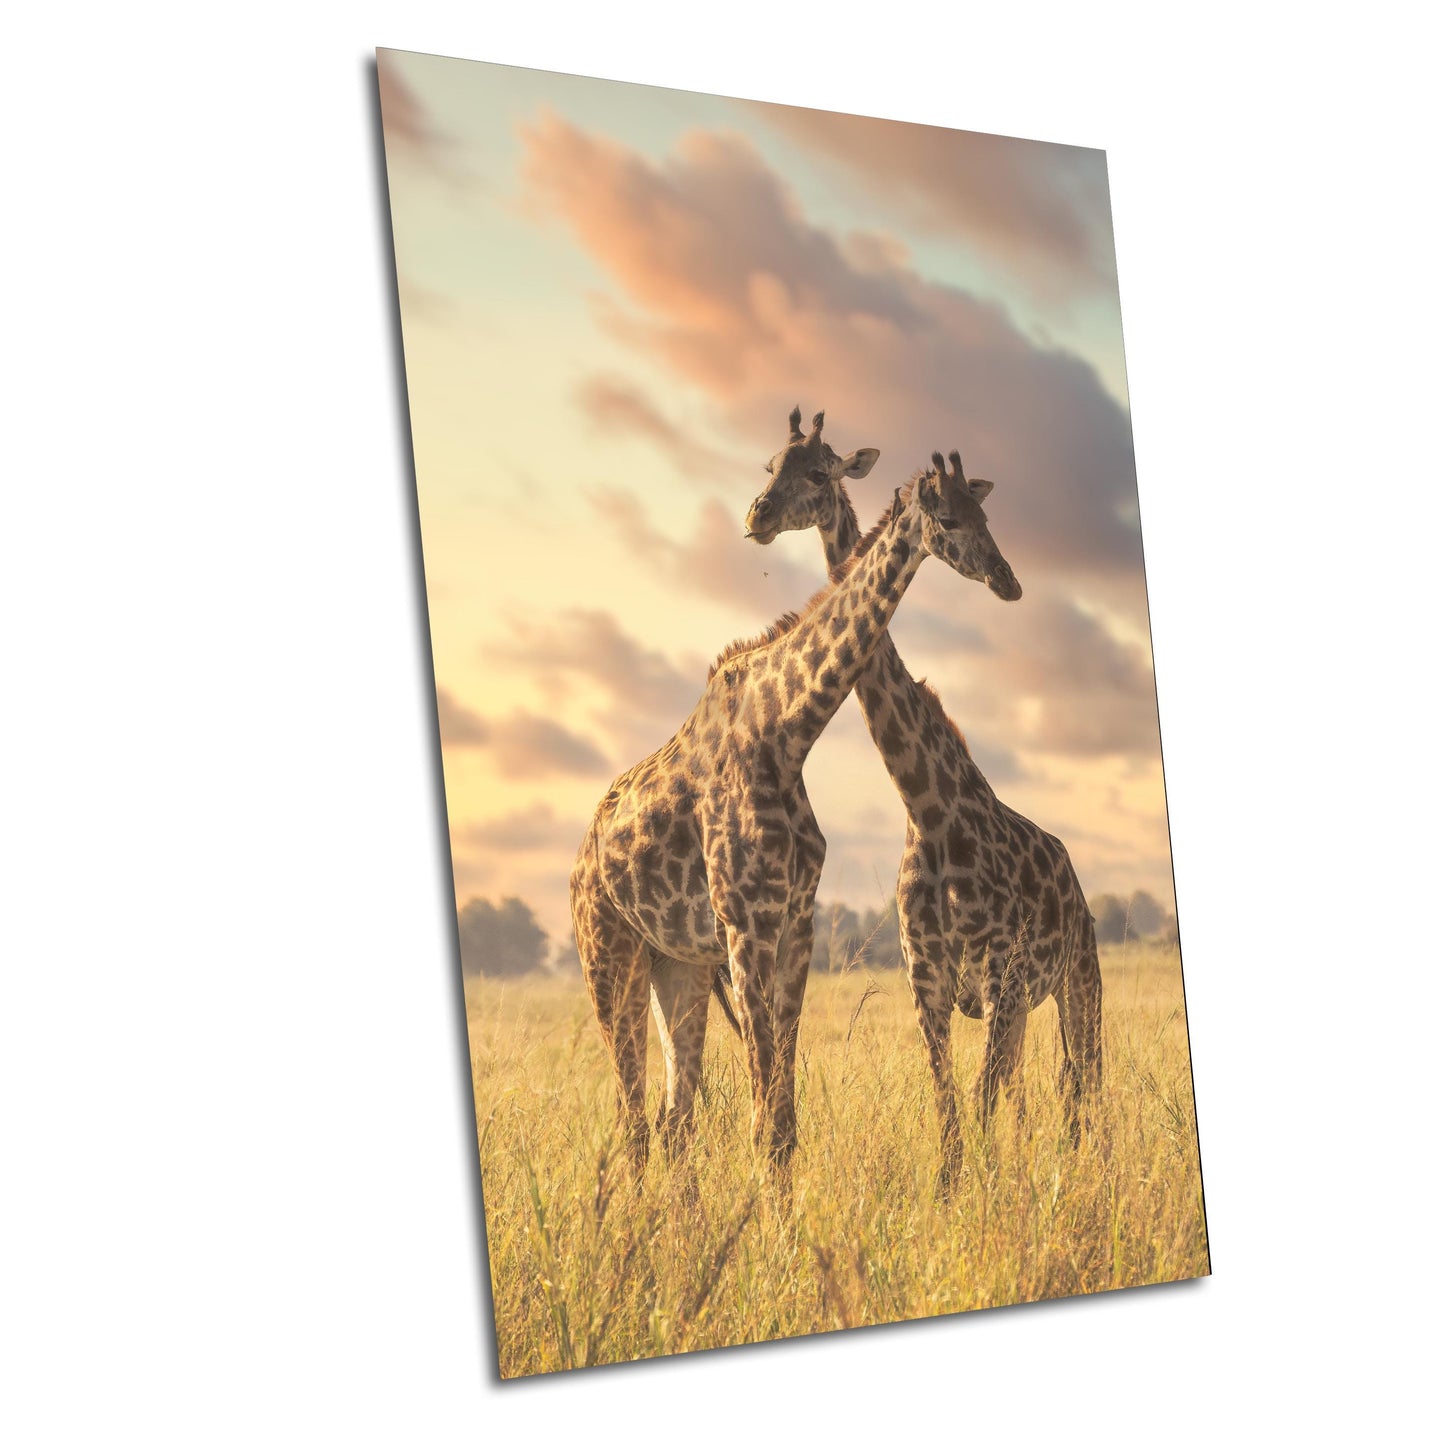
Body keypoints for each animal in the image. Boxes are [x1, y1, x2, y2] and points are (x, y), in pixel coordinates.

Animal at [571, 448, 1022, 1179]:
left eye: (985, 515)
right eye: (949, 520)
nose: (1007, 581)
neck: (786, 732)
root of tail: (581, 860)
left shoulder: (794, 925)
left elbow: (782, 1120)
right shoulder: (744, 928)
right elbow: (763, 1117)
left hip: (677, 966)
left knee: (672, 1119)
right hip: (608, 957)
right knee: (632, 1119)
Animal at [745, 408, 1103, 1188]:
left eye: (982, 513)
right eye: (771, 467)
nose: (1008, 581)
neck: (929, 807)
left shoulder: (1000, 976)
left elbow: (978, 1101)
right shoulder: (929, 981)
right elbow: (950, 1113)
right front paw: (958, 1192)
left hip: (1078, 979)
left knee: (1081, 1086)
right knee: (1033, 1089)